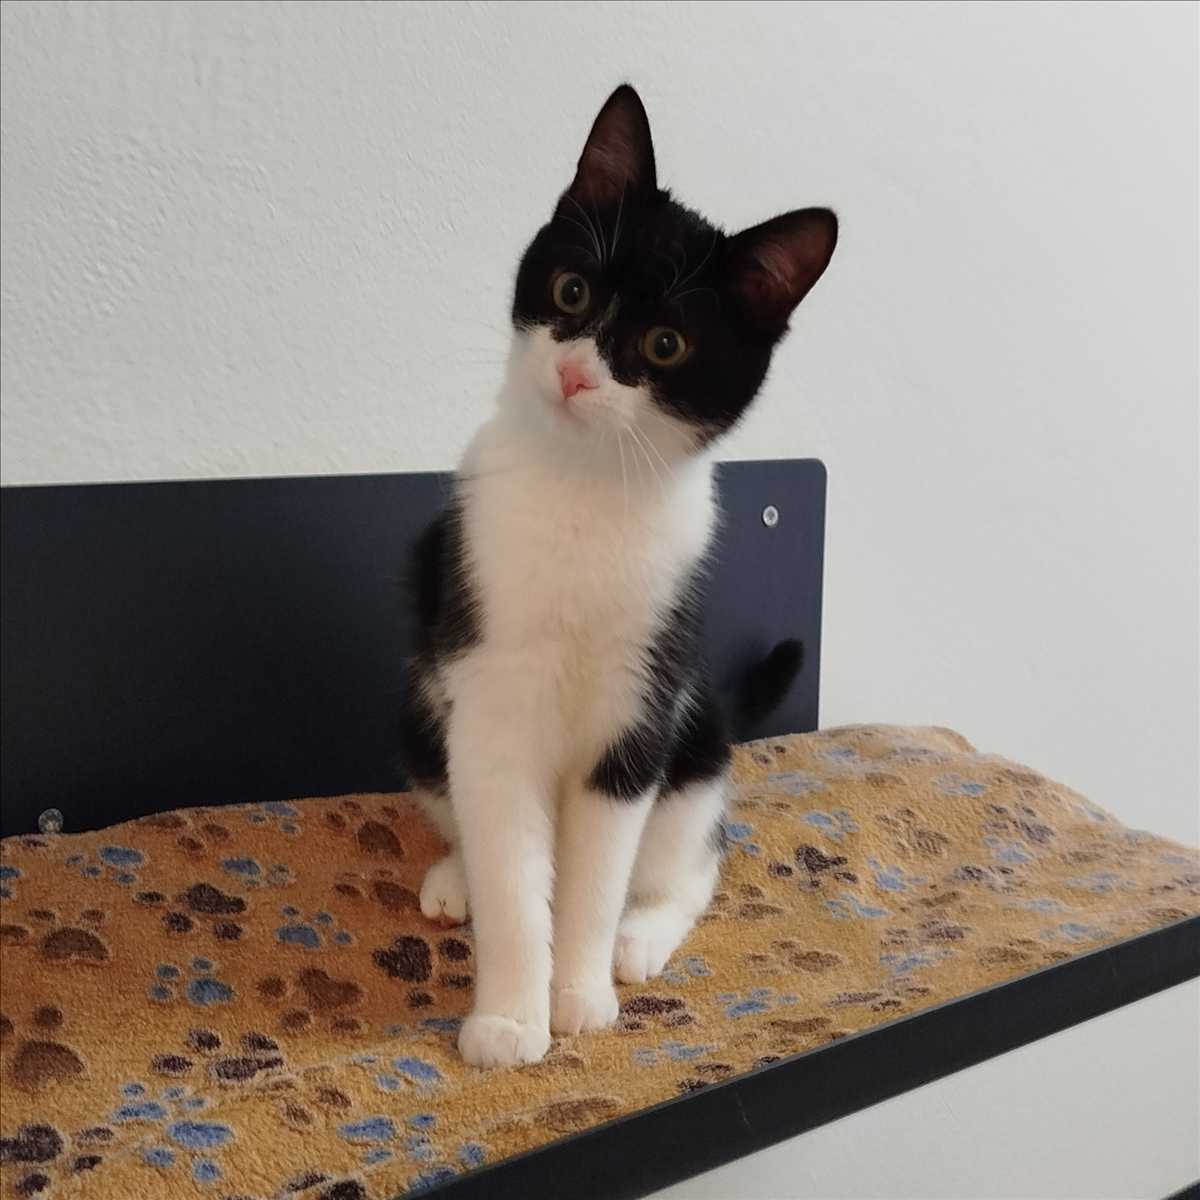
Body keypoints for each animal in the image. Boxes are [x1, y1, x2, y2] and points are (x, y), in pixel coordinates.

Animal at [398, 84, 837, 1068]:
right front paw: (508, 1019)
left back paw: (640, 937)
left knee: (697, 863)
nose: (574, 372)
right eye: (572, 291)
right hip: (422, 705)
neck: (585, 489)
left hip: (695, 735)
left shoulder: (638, 709)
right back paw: (455, 877)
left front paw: (579, 995)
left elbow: (597, 878)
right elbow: (515, 870)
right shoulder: (489, 689)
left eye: (666, 344)